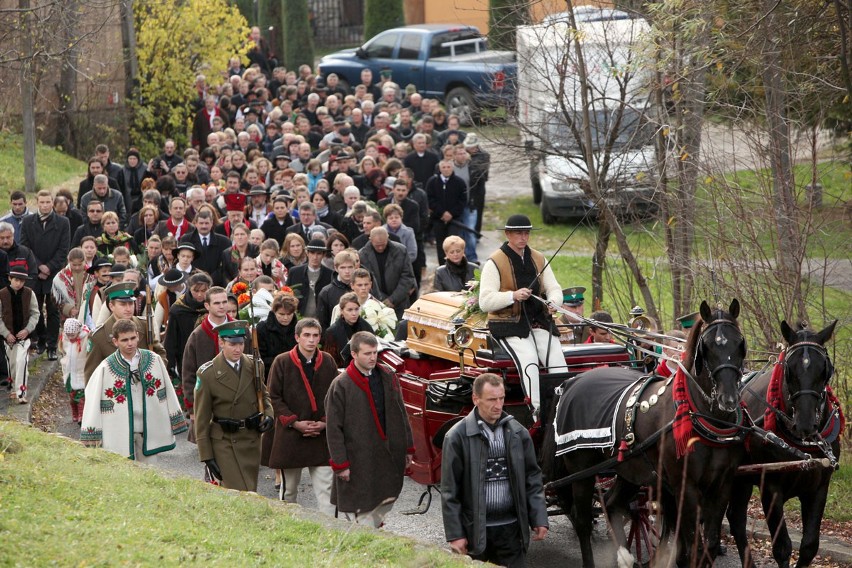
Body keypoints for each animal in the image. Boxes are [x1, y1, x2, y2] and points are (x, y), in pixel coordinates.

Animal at [544, 300, 744, 564]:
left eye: (740, 343)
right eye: (707, 346)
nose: (728, 398)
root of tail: (572, 382)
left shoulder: (722, 486)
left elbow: (706, 546)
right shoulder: (685, 486)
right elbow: (691, 547)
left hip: (629, 470)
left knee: (613, 505)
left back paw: (625, 557)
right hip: (581, 470)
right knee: (582, 521)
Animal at [724, 320, 840, 568]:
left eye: (825, 369)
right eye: (789, 368)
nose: (805, 423)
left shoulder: (819, 487)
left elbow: (809, 546)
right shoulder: (770, 487)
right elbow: (782, 547)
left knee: (735, 517)